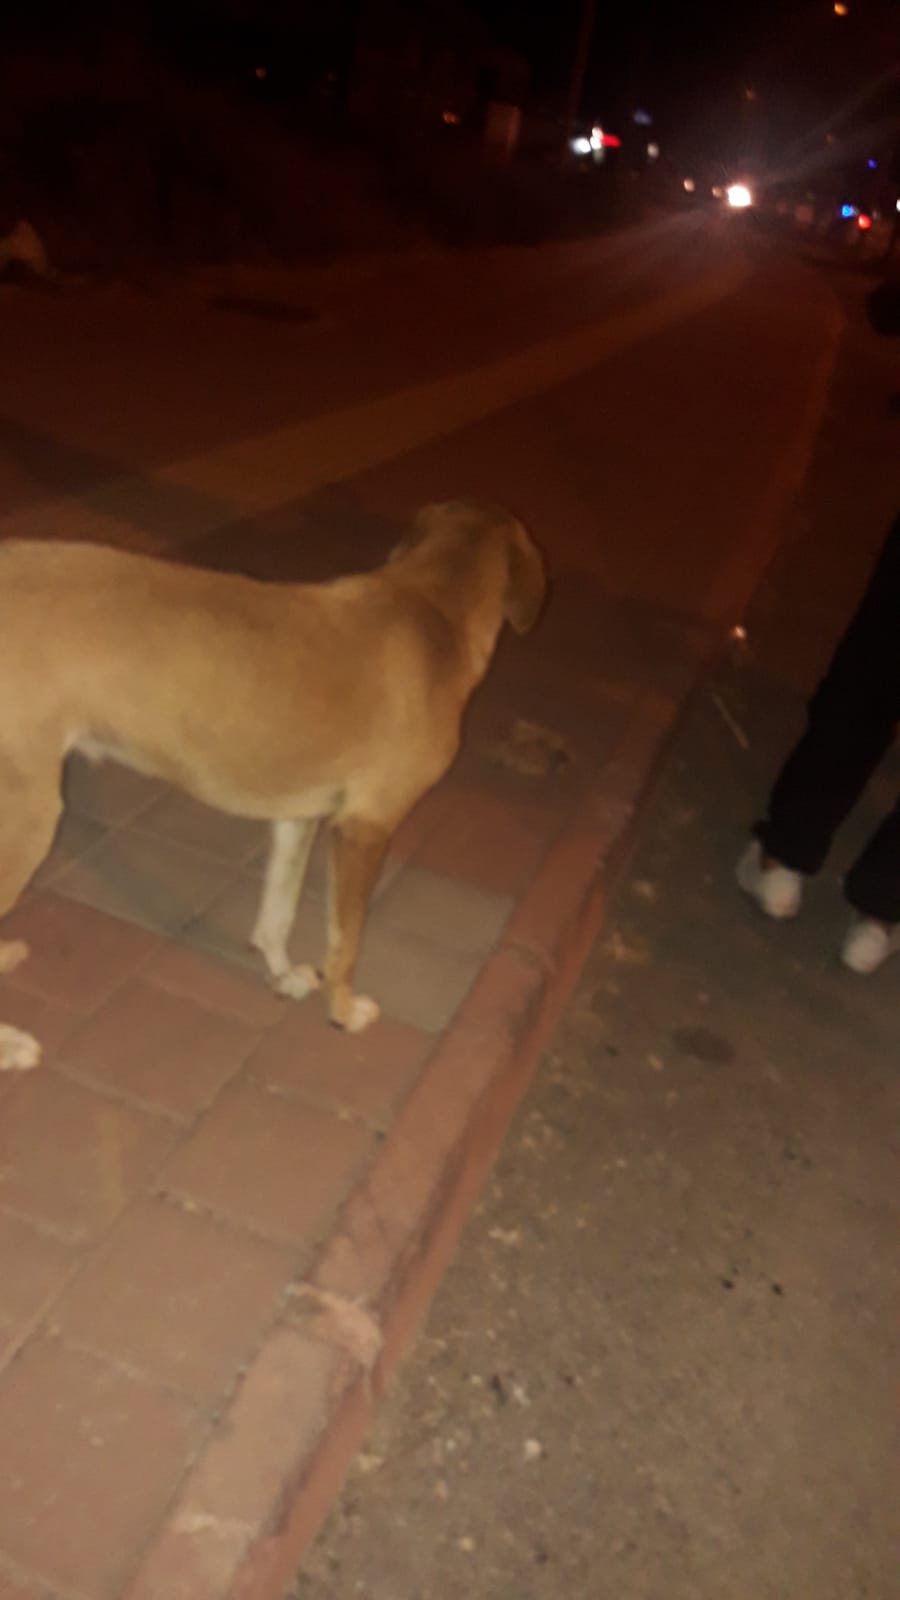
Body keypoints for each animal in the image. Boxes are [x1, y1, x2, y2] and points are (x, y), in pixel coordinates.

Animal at [0, 500, 545, 1070]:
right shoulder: (364, 831)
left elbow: (276, 916)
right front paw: (343, 1012)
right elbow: (345, 944)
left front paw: (283, 976)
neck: (432, 608)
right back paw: (8, 1043)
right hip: (27, 820)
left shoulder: (296, 817)